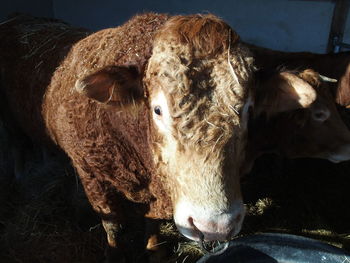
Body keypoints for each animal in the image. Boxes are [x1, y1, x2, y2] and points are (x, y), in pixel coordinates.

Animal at [0, 13, 318, 260]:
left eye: (248, 109)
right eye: (157, 109)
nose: (213, 224)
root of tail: (21, 18)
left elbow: (152, 224)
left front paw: (154, 249)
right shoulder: (92, 177)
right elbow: (112, 224)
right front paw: (115, 253)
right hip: (11, 122)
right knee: (16, 144)